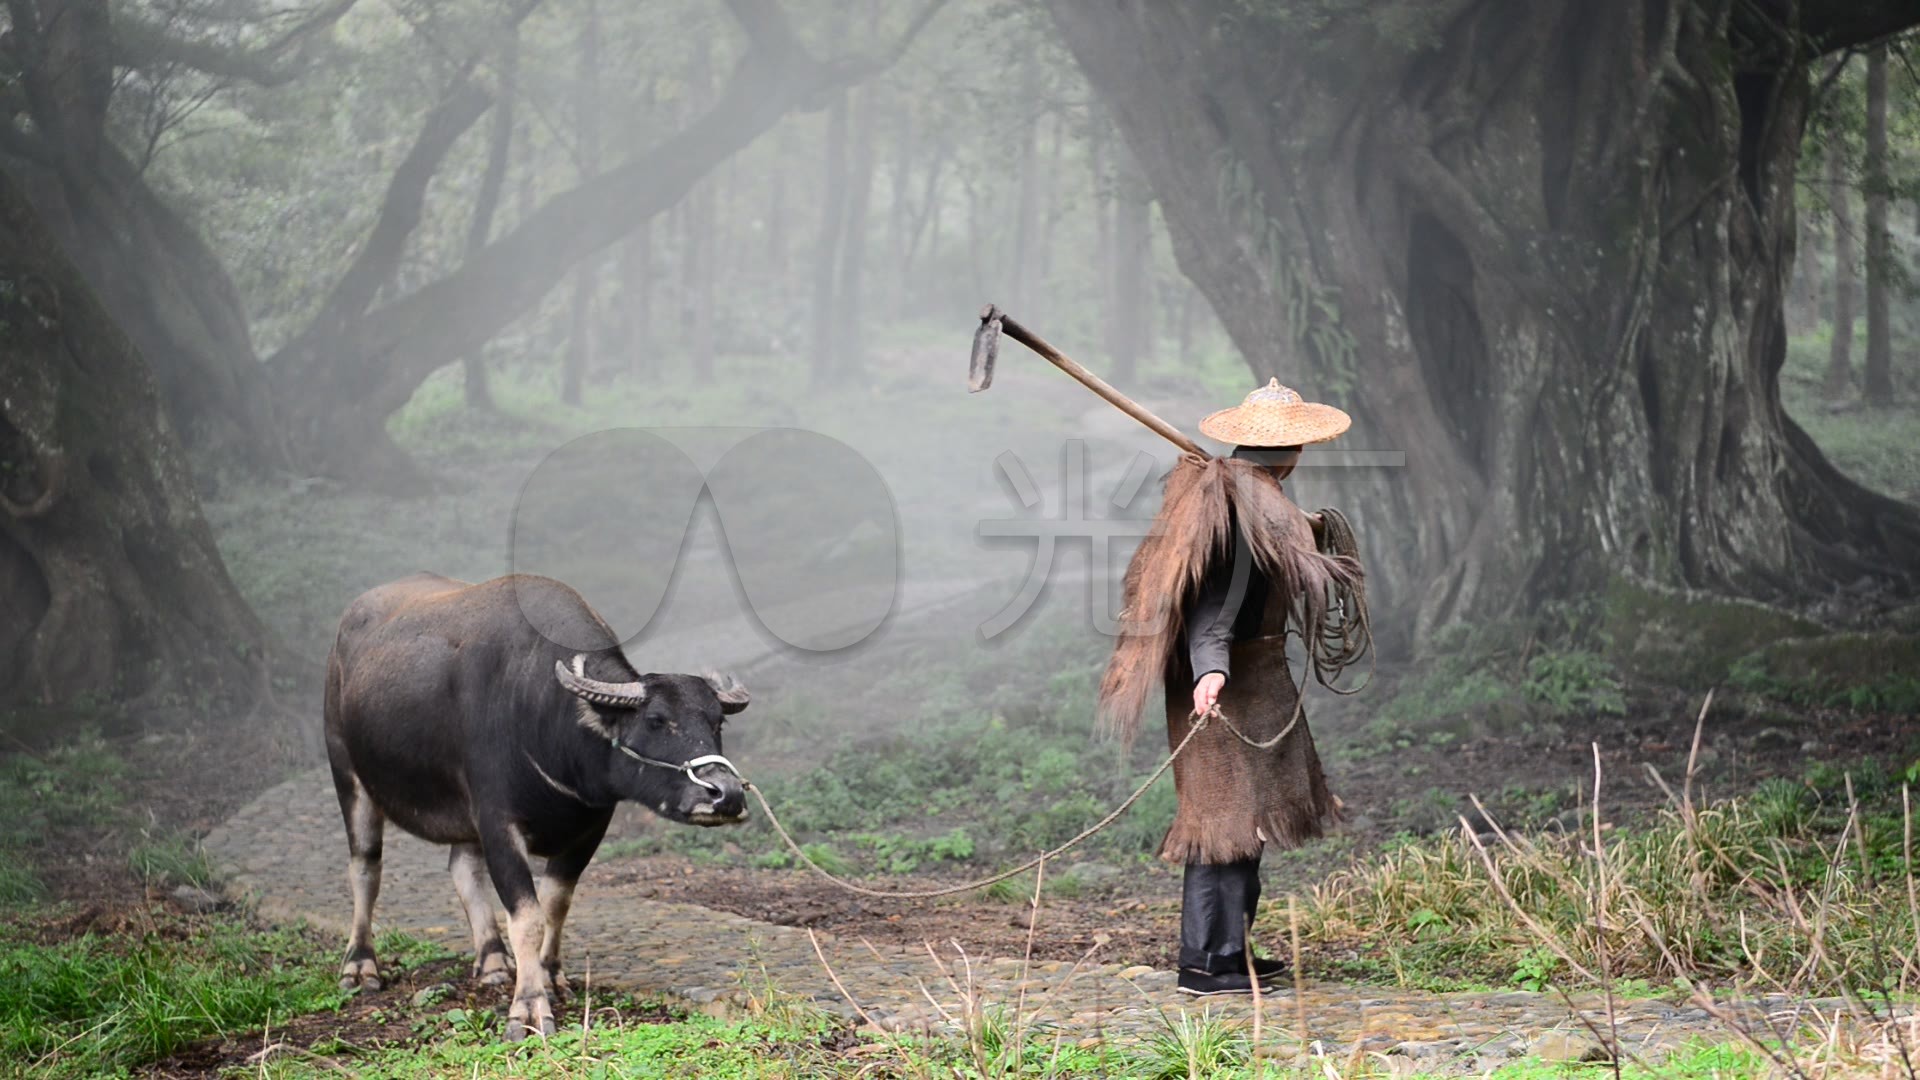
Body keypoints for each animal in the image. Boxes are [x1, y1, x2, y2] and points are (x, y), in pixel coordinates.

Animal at [322, 572, 748, 1037]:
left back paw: (492, 959)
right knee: (365, 867)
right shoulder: (499, 823)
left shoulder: (589, 827)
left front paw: (549, 975)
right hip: (348, 773)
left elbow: (555, 905)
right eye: (655, 721)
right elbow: (527, 918)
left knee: (462, 868)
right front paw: (528, 1008)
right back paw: (360, 966)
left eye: (717, 723)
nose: (727, 794)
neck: (544, 719)